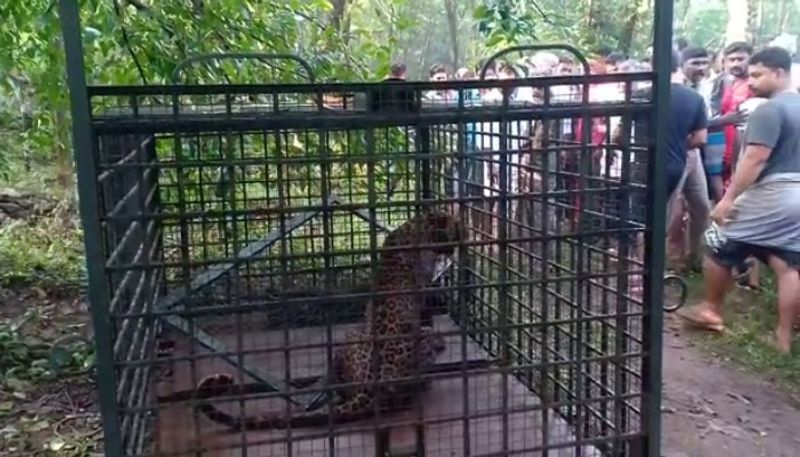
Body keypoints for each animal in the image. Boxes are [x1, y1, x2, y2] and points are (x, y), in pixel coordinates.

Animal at [193, 208, 462, 430]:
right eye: (454, 228)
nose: (458, 243)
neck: (415, 227)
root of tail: (370, 385)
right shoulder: (425, 295)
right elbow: (428, 314)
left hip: (349, 335)